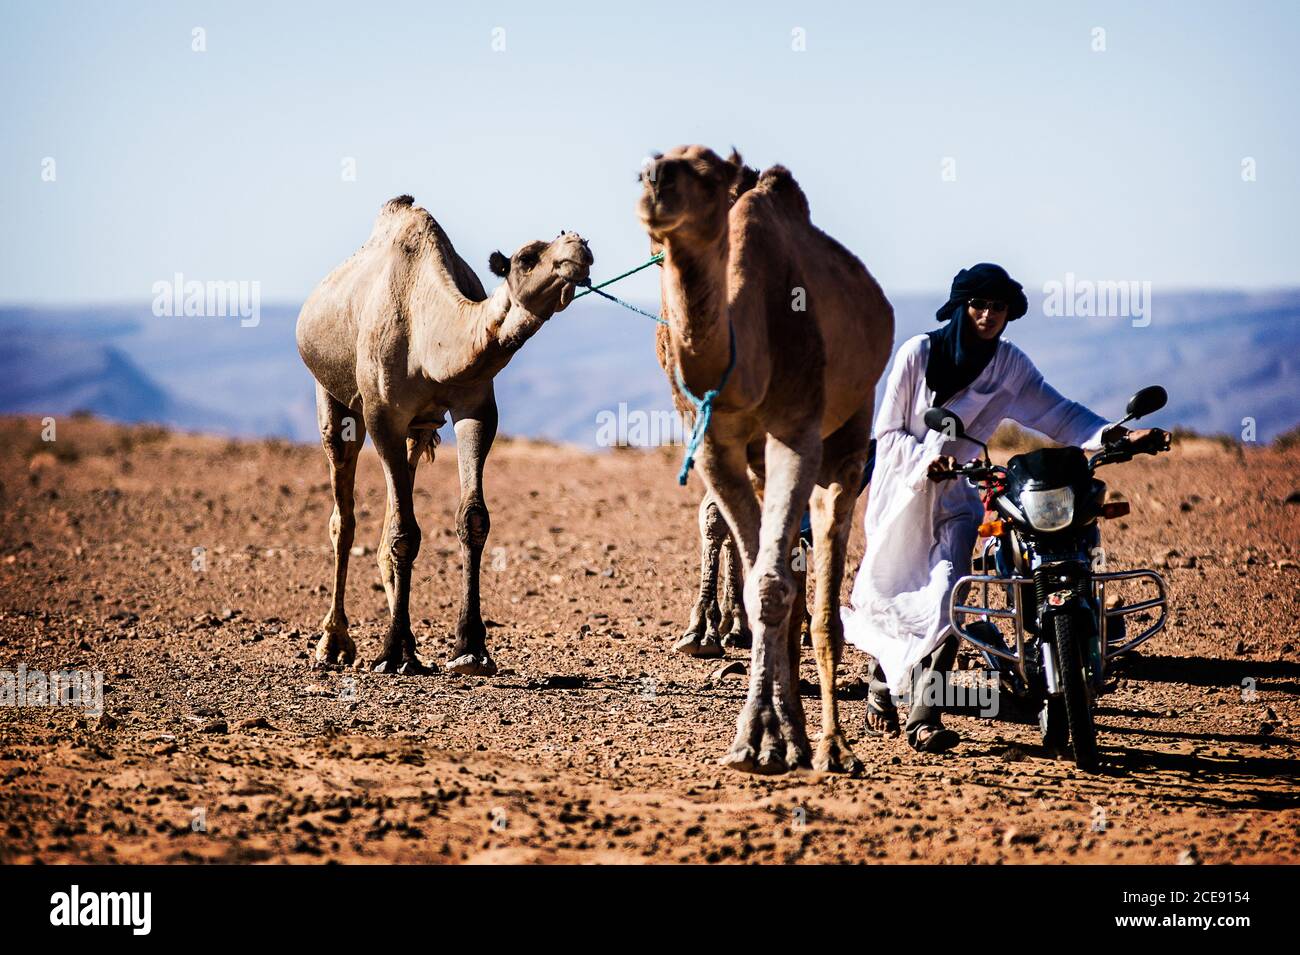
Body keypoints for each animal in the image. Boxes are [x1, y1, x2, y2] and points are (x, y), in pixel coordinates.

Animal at [297, 192, 592, 670]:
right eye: (527, 257)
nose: (580, 248)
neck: (428, 332)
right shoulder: (382, 415)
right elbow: (404, 533)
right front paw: (391, 651)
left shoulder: (476, 405)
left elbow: (471, 518)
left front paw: (470, 648)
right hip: (332, 395)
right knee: (344, 517)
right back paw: (334, 644)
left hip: (418, 430)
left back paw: (408, 642)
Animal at [637, 149, 894, 779]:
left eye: (706, 172)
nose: (655, 181)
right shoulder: (714, 441)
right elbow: (758, 574)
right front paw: (764, 734)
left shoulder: (796, 431)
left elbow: (777, 582)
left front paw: (775, 737)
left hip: (849, 434)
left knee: (825, 585)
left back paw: (834, 746)